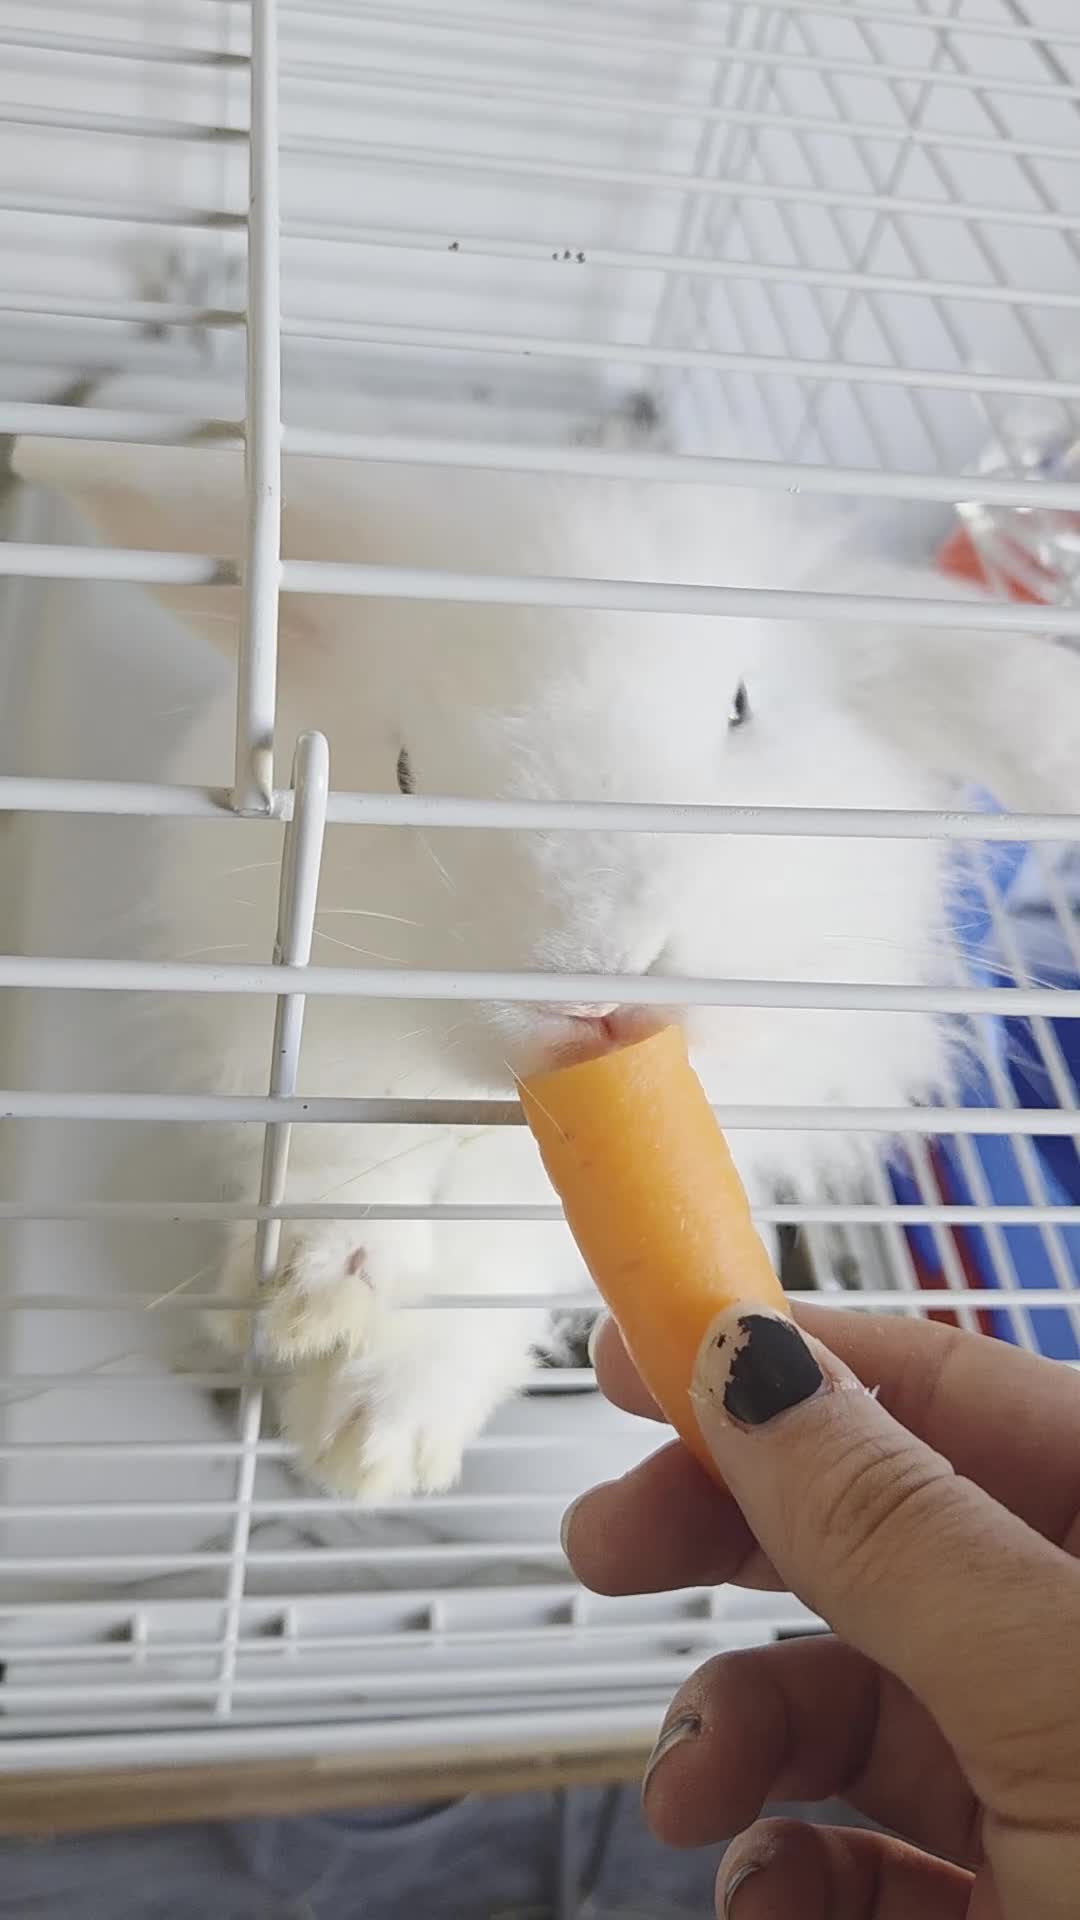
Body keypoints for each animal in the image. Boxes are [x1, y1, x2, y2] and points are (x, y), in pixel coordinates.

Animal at [11, 429, 1080, 1500]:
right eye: (403, 772)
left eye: (741, 708)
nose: (591, 979)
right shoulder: (297, 1034)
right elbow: (340, 1156)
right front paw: (315, 1299)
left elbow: (496, 1258)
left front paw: (375, 1440)